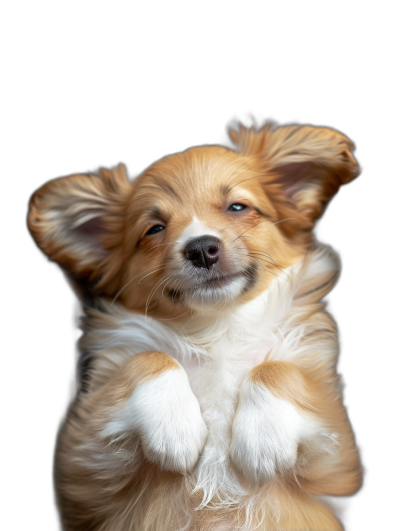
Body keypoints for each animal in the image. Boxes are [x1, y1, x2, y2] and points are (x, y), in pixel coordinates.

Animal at [27, 121, 362, 531]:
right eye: (155, 229)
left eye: (238, 207)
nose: (202, 248)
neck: (215, 329)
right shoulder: (81, 472)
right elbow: (150, 357)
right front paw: (174, 430)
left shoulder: (339, 461)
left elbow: (277, 367)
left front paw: (264, 442)